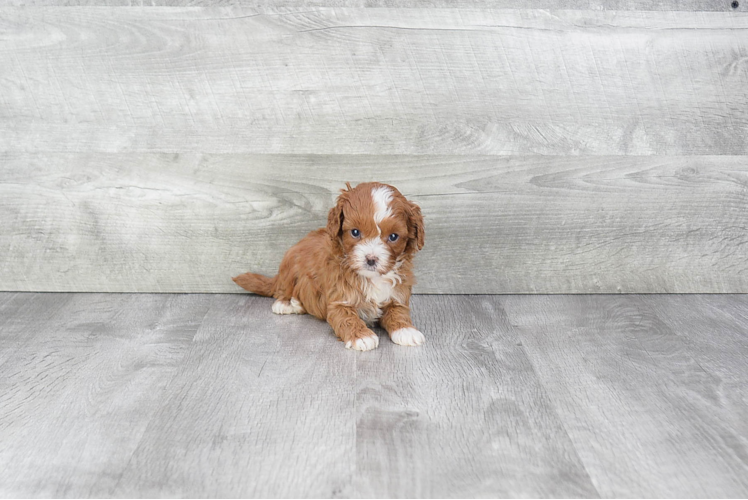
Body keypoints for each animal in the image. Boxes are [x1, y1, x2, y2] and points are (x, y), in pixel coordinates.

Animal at [231, 182, 424, 350]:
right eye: (355, 232)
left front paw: (407, 330)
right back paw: (288, 304)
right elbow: (347, 318)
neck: (372, 278)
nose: (371, 259)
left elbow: (399, 312)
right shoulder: (338, 301)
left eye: (393, 236)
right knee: (282, 289)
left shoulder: (396, 296)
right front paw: (362, 336)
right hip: (290, 264)